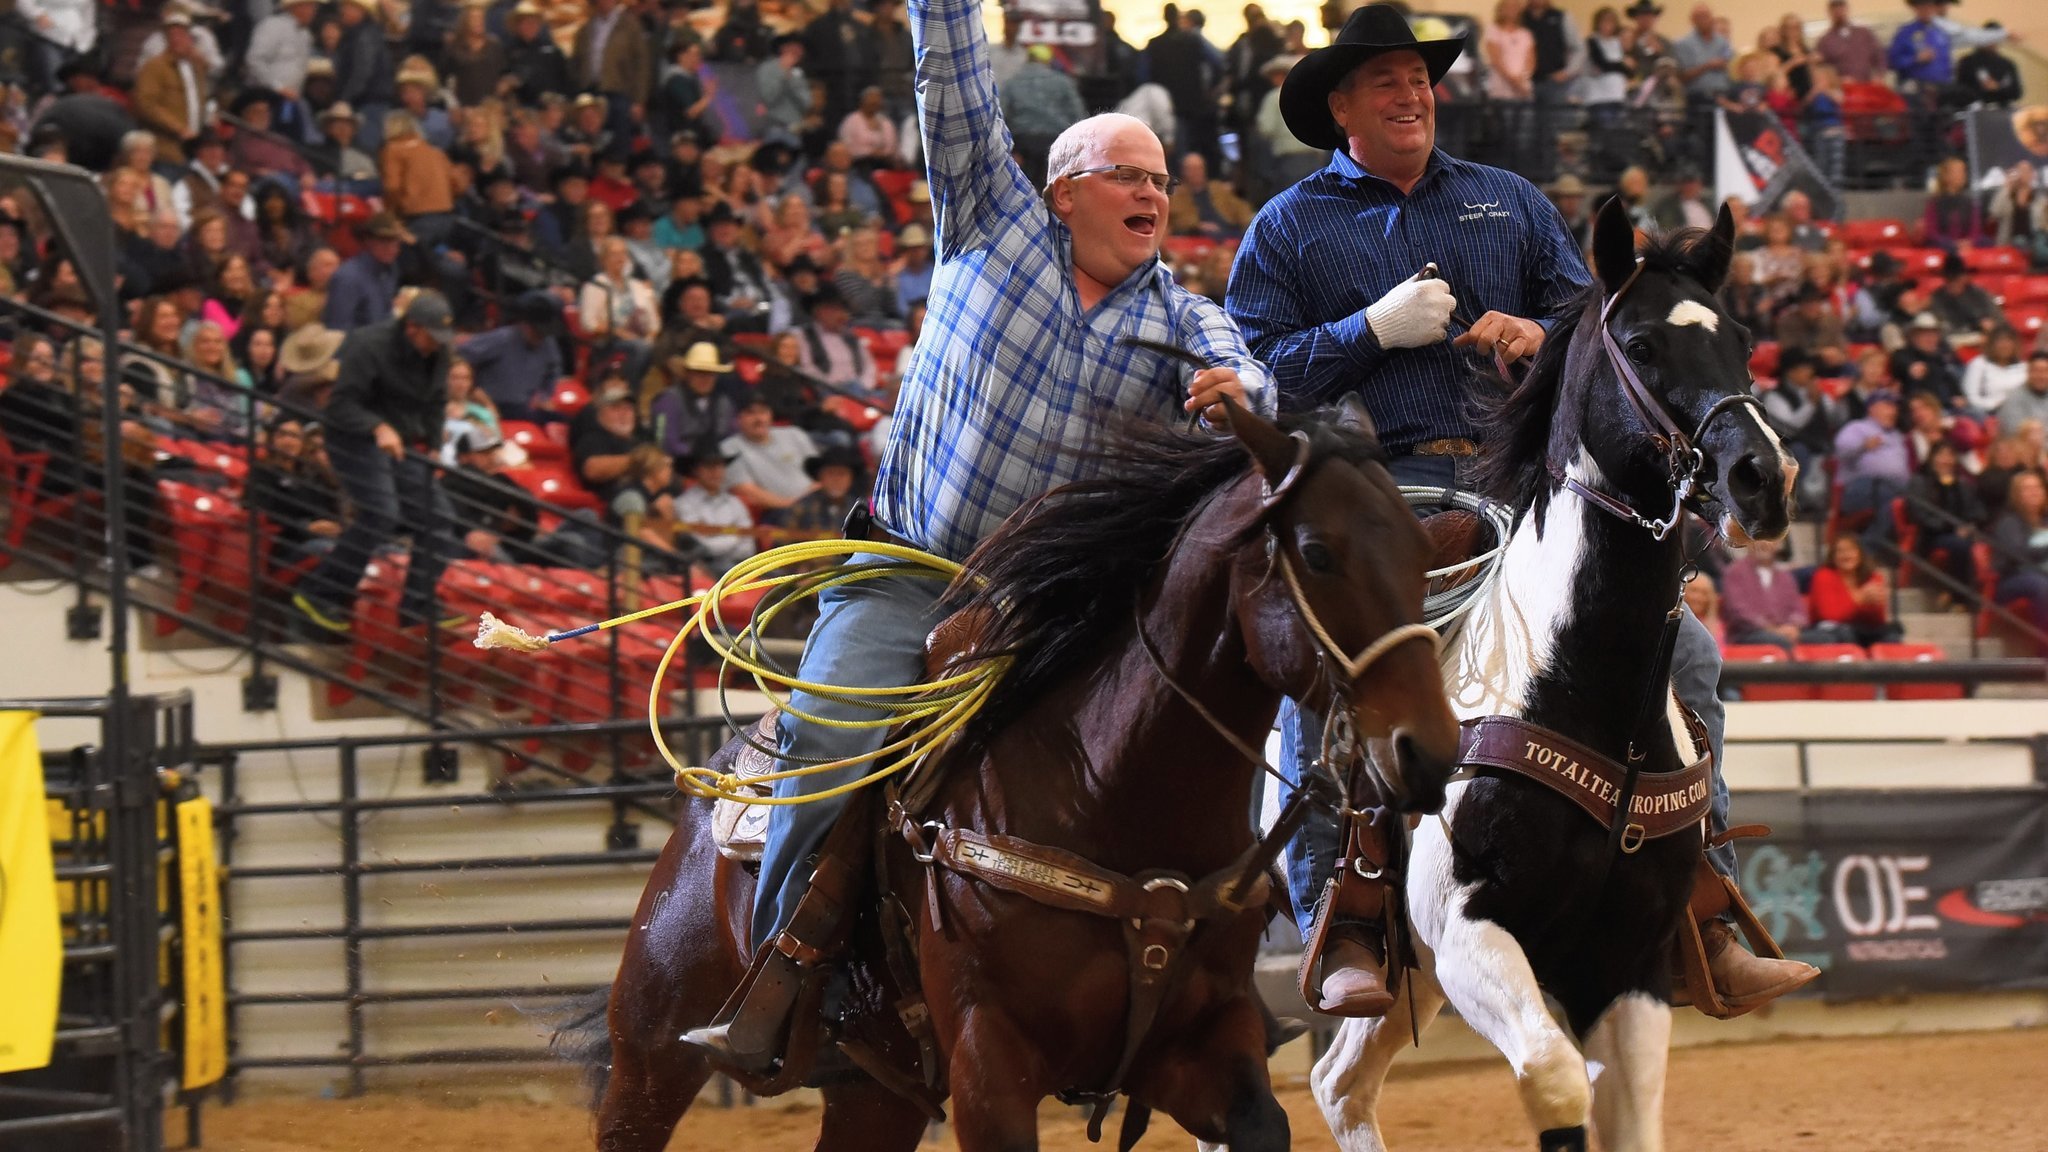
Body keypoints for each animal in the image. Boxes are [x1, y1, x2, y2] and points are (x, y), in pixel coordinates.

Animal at [565, 399, 1458, 1139]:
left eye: (1424, 549)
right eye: (1317, 551)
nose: (1431, 750)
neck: (1107, 792)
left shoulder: (1207, 1046)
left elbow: (1261, 1119)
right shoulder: (989, 1066)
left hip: (874, 1092)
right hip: (652, 1052)